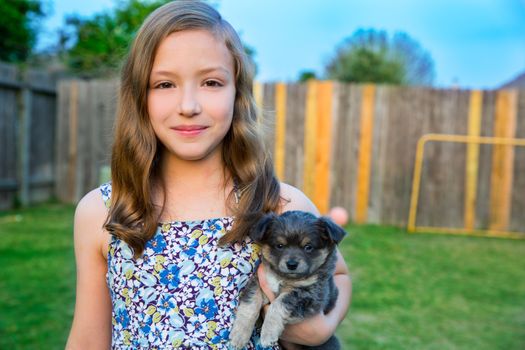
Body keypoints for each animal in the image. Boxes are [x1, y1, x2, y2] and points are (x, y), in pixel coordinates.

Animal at [228, 209, 344, 348]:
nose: (292, 264)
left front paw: (268, 333)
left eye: (308, 247)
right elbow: (250, 305)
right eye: (280, 245)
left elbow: (279, 304)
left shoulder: (309, 293)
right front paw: (239, 335)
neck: (283, 277)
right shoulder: (258, 282)